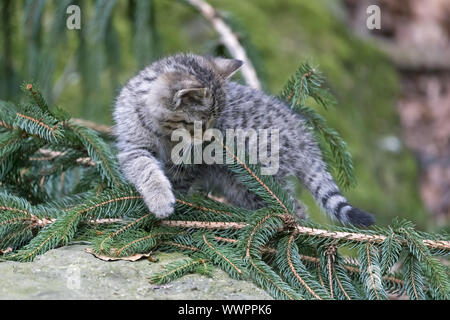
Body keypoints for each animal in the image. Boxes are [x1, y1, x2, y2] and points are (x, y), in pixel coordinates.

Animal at [114, 53, 374, 226]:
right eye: (200, 124)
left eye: (215, 121)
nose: (211, 139)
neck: (163, 132)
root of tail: (302, 133)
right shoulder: (133, 146)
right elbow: (145, 169)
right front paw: (159, 198)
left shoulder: (191, 160)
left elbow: (179, 178)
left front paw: (174, 201)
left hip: (256, 176)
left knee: (292, 206)